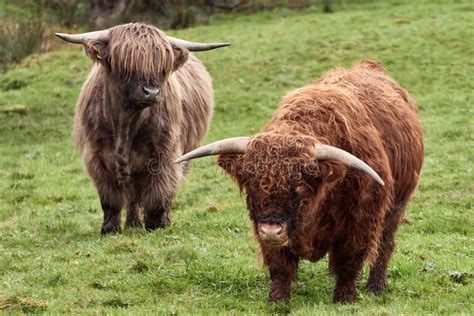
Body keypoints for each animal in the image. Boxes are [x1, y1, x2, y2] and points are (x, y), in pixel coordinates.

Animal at [56, 22, 230, 233]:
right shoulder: (97, 156)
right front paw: (109, 228)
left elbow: (159, 192)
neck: (125, 123)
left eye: (162, 67)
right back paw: (132, 223)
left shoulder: (165, 154)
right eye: (126, 63)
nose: (151, 92)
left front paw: (157, 224)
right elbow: (110, 198)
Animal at [176, 59, 424, 304]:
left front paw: (345, 298)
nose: (271, 230)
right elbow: (280, 267)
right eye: (251, 184)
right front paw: (278, 300)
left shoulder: (360, 220)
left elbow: (349, 260)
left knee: (385, 244)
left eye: (300, 186)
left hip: (397, 204)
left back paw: (376, 286)